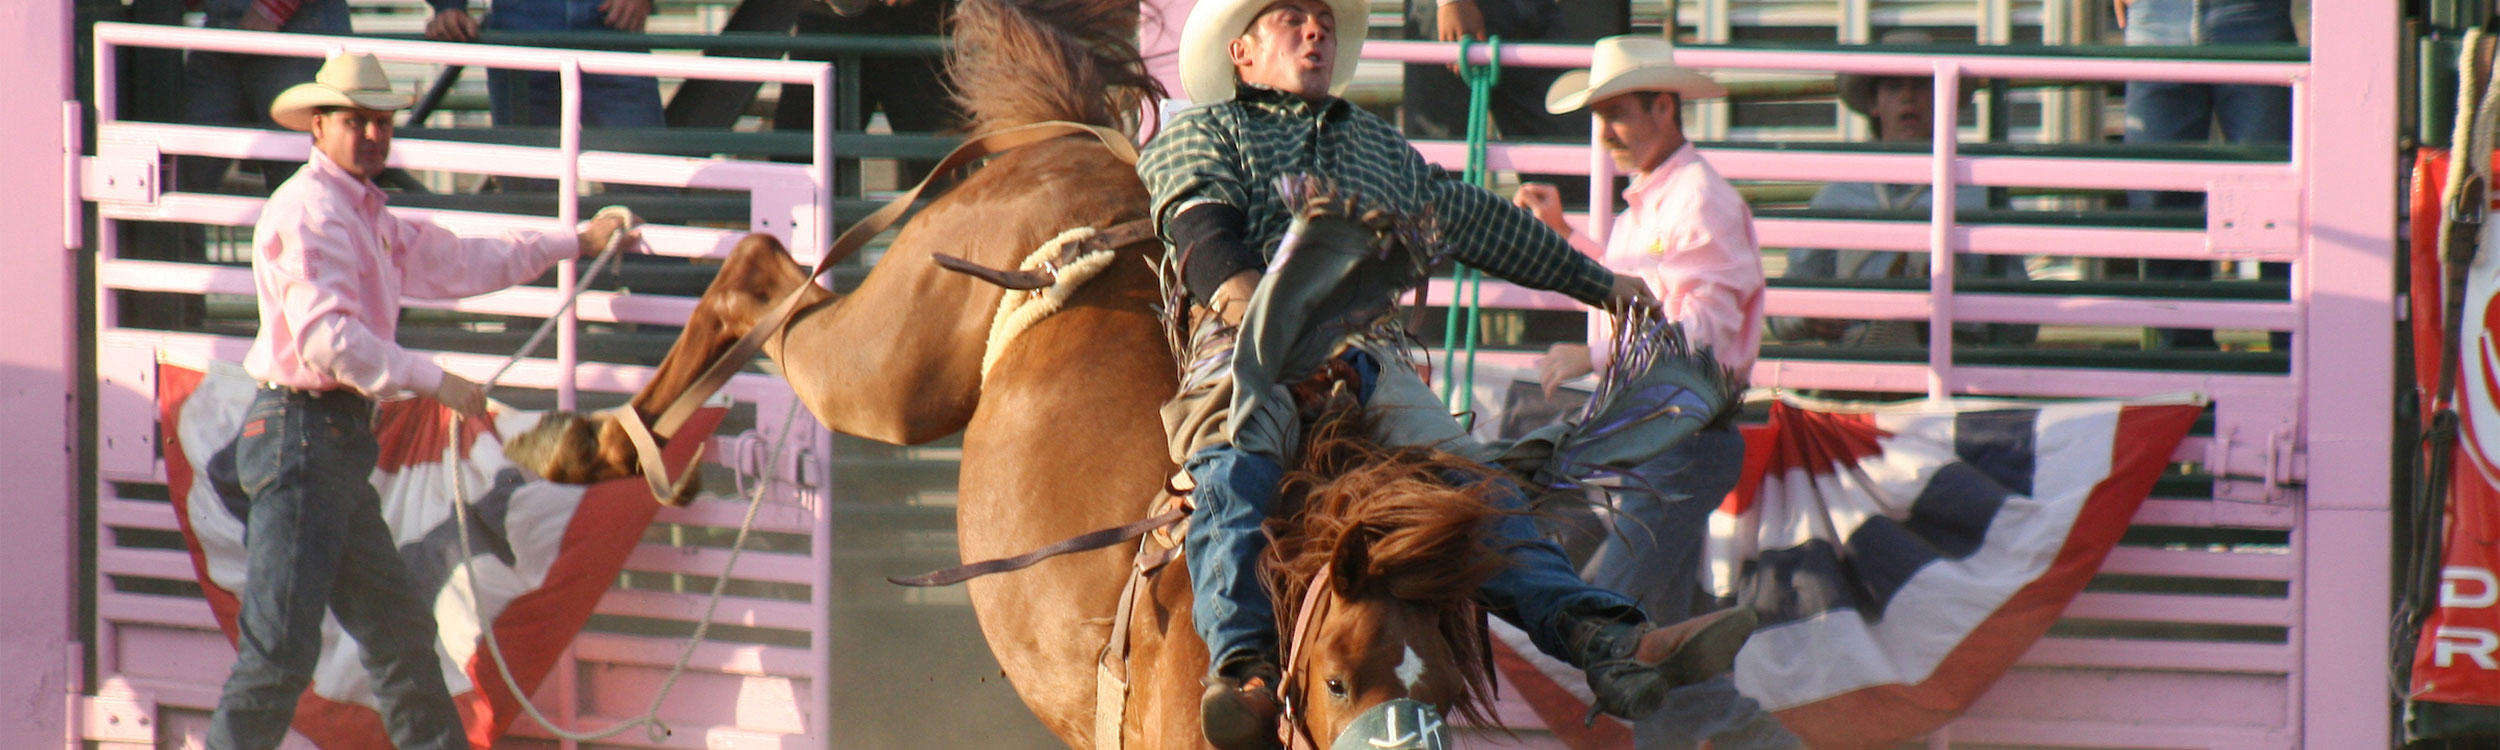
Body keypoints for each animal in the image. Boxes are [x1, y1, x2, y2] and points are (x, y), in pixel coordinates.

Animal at [502, 0, 1529, 746]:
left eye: (1445, 682)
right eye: (1338, 679)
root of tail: (1072, 140)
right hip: (890, 366)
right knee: (763, 272)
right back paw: (587, 440)